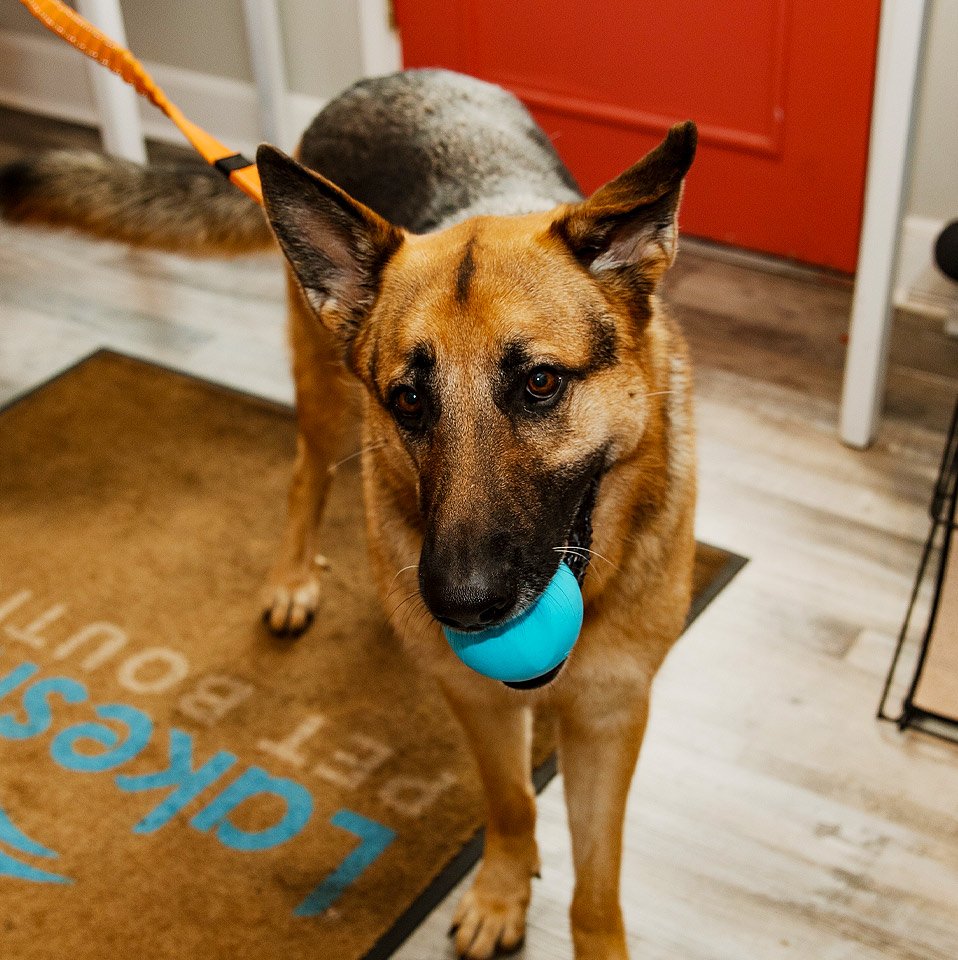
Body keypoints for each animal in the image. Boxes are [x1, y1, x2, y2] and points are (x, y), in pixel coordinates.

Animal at [0, 69, 696, 960]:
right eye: (409, 401)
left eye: (540, 383)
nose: (461, 607)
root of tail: (378, 80)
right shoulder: (479, 701)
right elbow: (510, 800)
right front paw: (503, 888)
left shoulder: (611, 716)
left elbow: (597, 880)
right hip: (326, 396)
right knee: (307, 477)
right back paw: (297, 577)